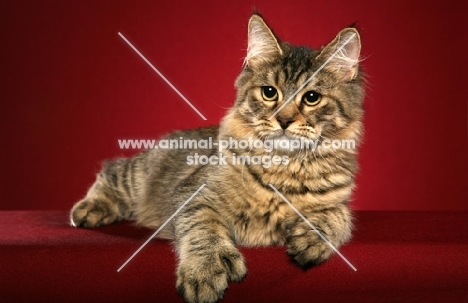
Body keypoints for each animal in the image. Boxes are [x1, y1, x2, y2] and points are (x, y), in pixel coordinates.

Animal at [69, 12, 364, 303]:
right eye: (269, 92)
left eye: (312, 97)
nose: (283, 120)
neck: (284, 167)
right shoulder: (193, 194)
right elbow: (203, 230)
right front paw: (206, 270)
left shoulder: (339, 201)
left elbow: (338, 217)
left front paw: (313, 237)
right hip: (137, 176)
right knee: (111, 170)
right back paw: (88, 210)